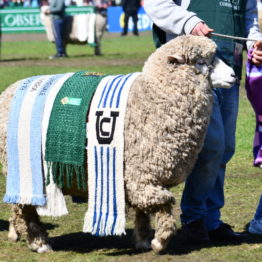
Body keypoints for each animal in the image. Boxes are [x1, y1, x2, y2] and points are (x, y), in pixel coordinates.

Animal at [0, 34, 235, 254]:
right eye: (200, 61)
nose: (234, 75)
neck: (153, 97)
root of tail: (9, 90)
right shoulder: (141, 175)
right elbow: (163, 204)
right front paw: (159, 242)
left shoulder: (143, 175)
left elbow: (144, 210)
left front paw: (143, 240)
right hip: (23, 167)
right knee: (23, 209)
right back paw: (38, 243)